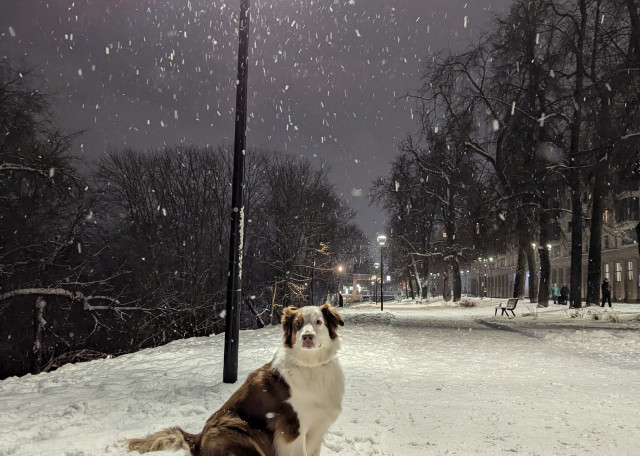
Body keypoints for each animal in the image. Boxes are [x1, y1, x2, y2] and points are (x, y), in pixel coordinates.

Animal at [127, 303, 345, 456]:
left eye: (318, 322)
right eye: (298, 325)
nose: (307, 337)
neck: (311, 365)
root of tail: (198, 440)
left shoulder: (315, 429)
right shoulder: (292, 430)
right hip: (243, 431)